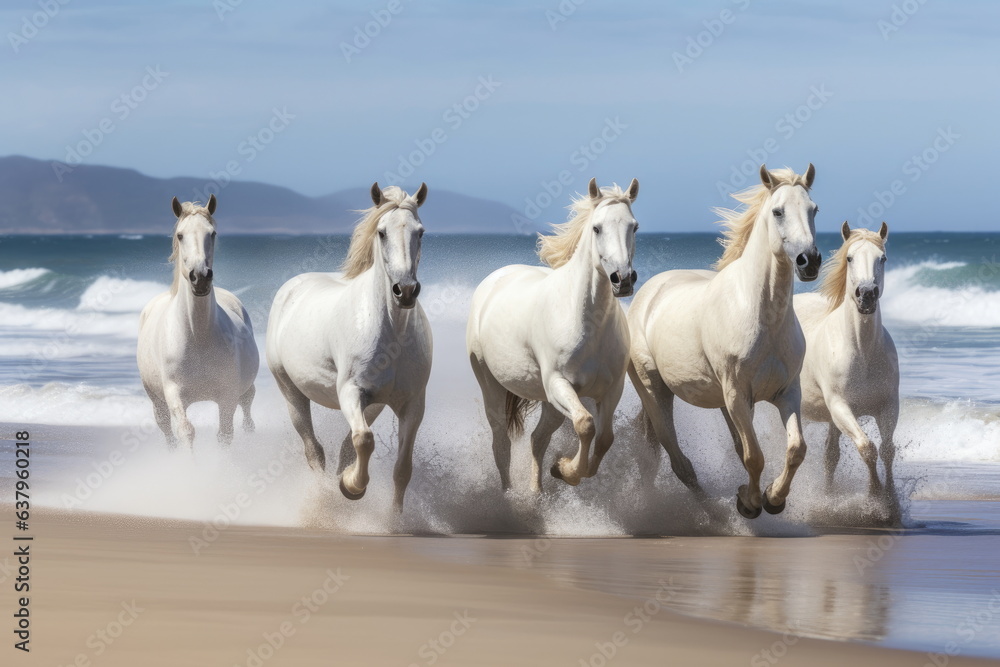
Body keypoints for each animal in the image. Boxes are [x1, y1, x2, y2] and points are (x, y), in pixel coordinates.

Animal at [137, 195, 259, 450]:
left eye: (212, 233)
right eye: (180, 235)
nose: (200, 277)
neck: (197, 336)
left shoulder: (228, 394)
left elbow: (225, 434)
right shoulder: (174, 394)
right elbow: (186, 431)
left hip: (245, 391)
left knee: (247, 413)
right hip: (156, 400)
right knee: (167, 431)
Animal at [266, 183, 432, 511]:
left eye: (420, 232)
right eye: (381, 232)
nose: (405, 291)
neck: (391, 331)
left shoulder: (411, 404)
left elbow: (402, 469)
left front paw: (394, 517)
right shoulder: (351, 392)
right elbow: (364, 441)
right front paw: (351, 487)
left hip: (375, 404)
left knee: (344, 446)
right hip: (291, 392)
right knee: (314, 450)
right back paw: (326, 495)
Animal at [467, 177, 639, 492]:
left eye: (634, 226)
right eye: (597, 228)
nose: (622, 280)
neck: (588, 325)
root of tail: (494, 278)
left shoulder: (611, 390)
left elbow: (604, 438)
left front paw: (560, 469)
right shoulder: (558, 383)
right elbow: (585, 425)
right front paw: (565, 469)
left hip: (551, 403)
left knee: (538, 439)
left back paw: (537, 494)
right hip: (493, 387)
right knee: (501, 443)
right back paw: (508, 495)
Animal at [627, 164, 821, 519]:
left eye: (814, 209)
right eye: (778, 211)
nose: (809, 260)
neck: (763, 316)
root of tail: (646, 295)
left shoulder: (786, 393)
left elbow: (795, 449)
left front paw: (774, 498)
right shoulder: (738, 396)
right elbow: (753, 456)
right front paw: (750, 504)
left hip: (718, 401)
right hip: (655, 392)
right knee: (678, 462)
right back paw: (716, 515)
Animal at [794, 222, 899, 511]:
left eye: (883, 258)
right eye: (850, 258)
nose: (867, 295)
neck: (862, 353)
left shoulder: (888, 406)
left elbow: (887, 450)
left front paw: (891, 497)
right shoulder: (840, 407)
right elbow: (867, 448)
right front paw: (875, 496)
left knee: (831, 454)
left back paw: (828, 495)